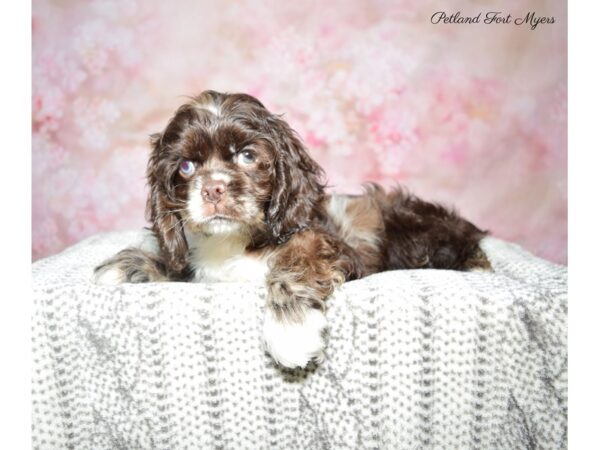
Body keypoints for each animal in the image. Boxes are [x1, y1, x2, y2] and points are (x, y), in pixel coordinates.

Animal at [92, 90, 488, 370]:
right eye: (186, 166)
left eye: (247, 156)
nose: (213, 189)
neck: (234, 242)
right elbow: (180, 266)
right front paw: (129, 266)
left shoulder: (333, 245)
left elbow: (299, 256)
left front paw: (290, 329)